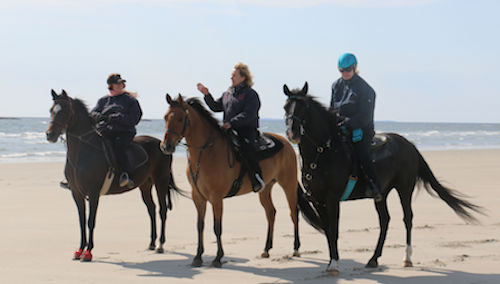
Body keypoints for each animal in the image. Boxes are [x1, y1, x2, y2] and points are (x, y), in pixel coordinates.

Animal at [45, 90, 182, 262]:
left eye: (63, 111)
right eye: (51, 110)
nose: (50, 135)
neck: (83, 152)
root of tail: (162, 144)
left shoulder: (94, 193)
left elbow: (90, 221)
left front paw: (88, 252)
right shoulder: (76, 193)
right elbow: (81, 221)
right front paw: (79, 250)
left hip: (161, 182)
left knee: (162, 210)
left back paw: (160, 245)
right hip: (145, 185)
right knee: (151, 209)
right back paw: (151, 243)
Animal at [160, 94, 316, 268]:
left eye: (180, 118)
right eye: (165, 117)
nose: (166, 146)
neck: (206, 153)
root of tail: (286, 142)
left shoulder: (216, 198)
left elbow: (217, 227)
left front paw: (218, 258)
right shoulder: (198, 197)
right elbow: (200, 225)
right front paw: (198, 256)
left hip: (288, 184)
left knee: (293, 212)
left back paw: (296, 248)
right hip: (265, 189)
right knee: (271, 213)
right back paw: (266, 249)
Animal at [282, 82, 480, 276]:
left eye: (305, 107)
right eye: (285, 107)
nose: (292, 133)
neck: (324, 153)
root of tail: (409, 145)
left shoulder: (332, 200)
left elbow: (334, 230)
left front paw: (334, 264)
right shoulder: (318, 200)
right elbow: (328, 231)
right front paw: (331, 263)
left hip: (404, 189)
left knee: (407, 218)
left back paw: (407, 258)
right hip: (382, 194)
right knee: (385, 220)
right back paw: (373, 259)